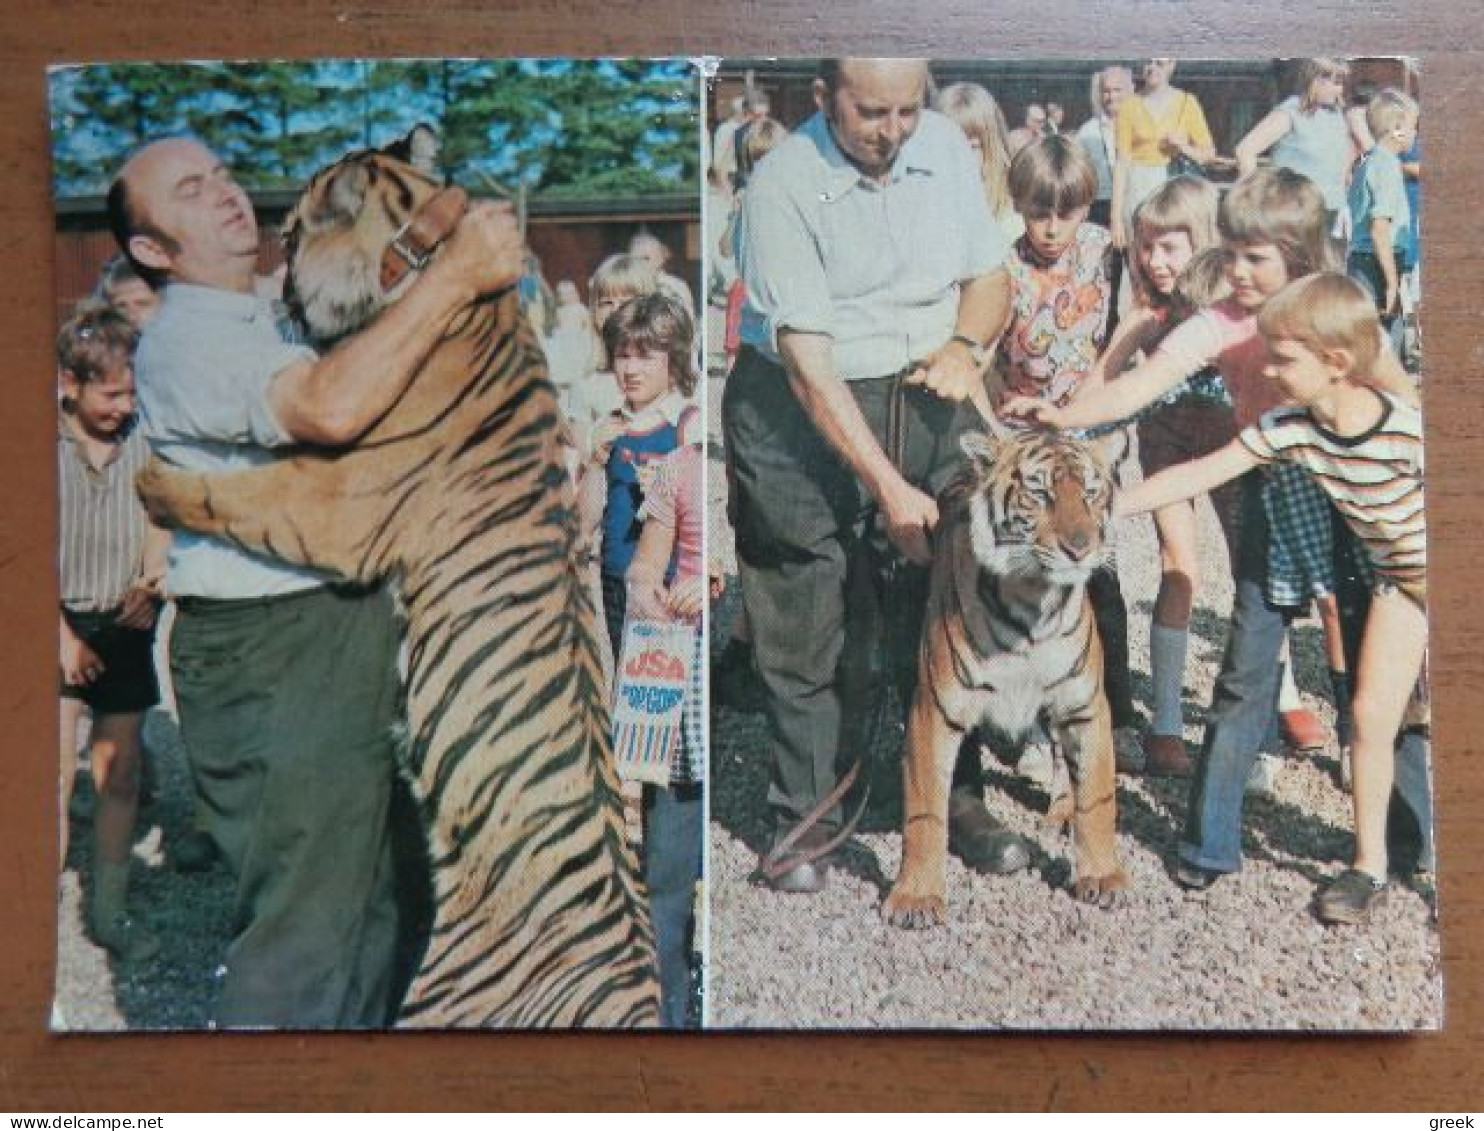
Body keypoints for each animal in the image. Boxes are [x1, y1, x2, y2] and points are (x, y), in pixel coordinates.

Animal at [138, 127, 661, 1027]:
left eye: (292, 235)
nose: (279, 291)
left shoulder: (331, 502)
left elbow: (231, 491)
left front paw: (150, 474)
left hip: (440, 993)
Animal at [884, 421, 1127, 926]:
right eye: (1040, 493)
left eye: (1091, 493)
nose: (1081, 548)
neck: (1035, 603)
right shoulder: (934, 710)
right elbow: (925, 813)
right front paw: (916, 897)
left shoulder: (1085, 706)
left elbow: (1097, 796)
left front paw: (1104, 876)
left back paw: (1062, 812)